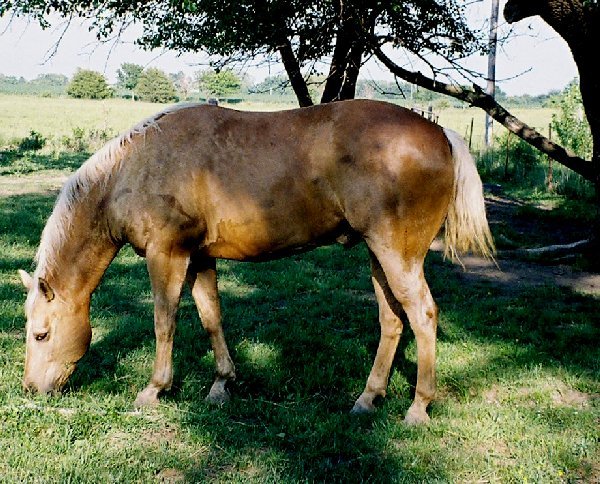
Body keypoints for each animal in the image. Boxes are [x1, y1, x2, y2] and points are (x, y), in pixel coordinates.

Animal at [18, 99, 492, 424]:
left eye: (42, 334)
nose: (30, 389)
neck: (134, 169)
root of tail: (440, 133)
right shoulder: (199, 258)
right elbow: (211, 318)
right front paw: (221, 384)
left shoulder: (166, 255)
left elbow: (164, 322)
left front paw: (155, 389)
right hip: (378, 254)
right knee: (392, 320)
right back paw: (368, 397)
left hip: (398, 255)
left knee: (423, 315)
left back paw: (418, 407)